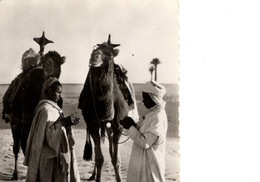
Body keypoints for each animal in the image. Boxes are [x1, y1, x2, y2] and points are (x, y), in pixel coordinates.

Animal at [1, 32, 66, 180]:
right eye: (46, 65)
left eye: (59, 68)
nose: (53, 80)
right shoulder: (25, 121)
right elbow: (26, 147)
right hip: (14, 121)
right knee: (17, 146)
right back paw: (15, 174)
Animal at [77, 34, 135, 181]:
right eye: (94, 50)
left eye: (110, 55)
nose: (94, 58)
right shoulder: (92, 124)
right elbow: (99, 158)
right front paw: (97, 177)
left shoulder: (119, 126)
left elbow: (116, 159)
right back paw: (92, 175)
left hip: (110, 127)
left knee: (111, 149)